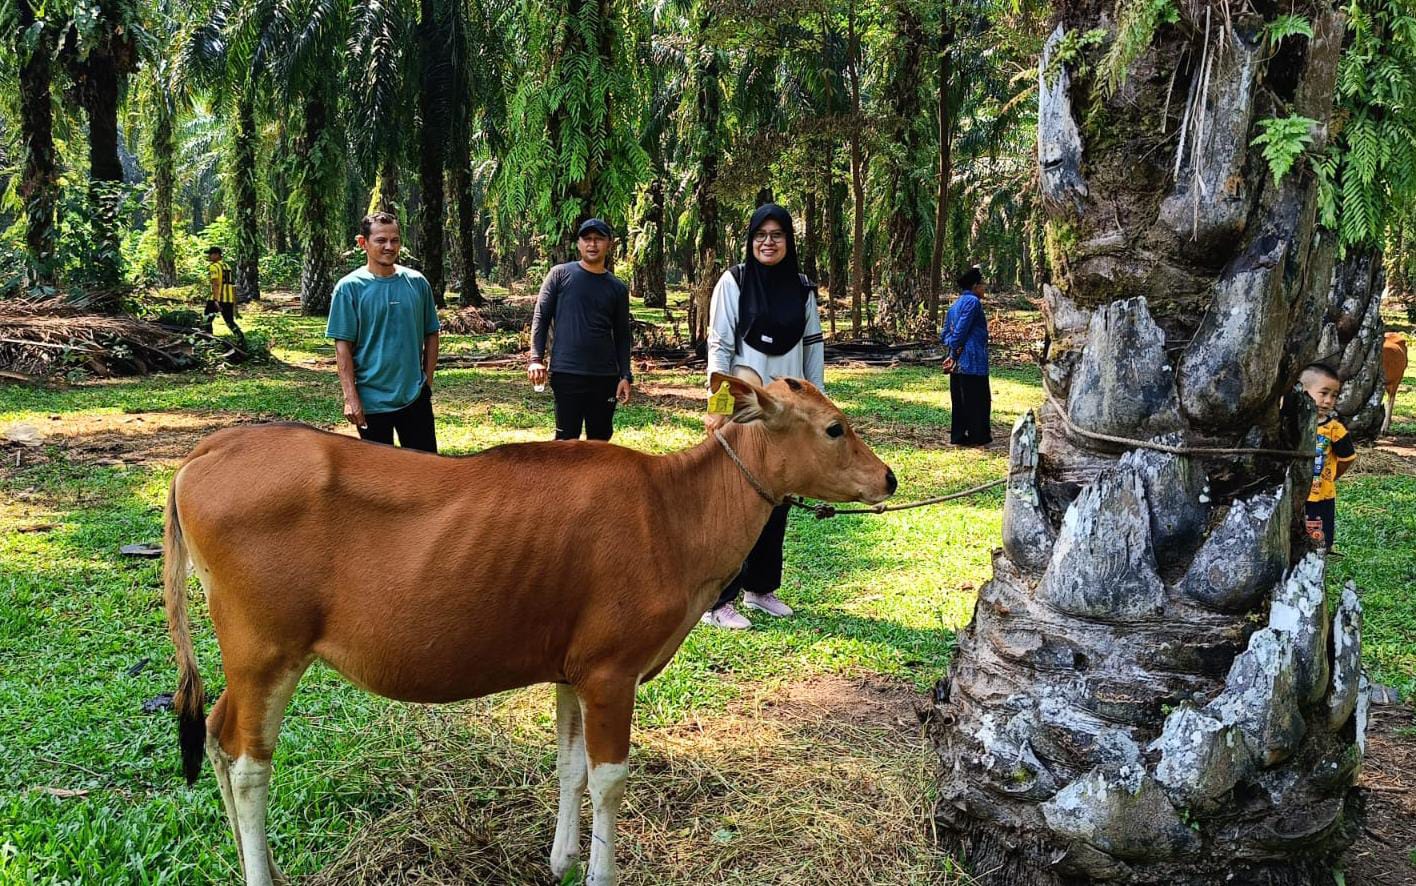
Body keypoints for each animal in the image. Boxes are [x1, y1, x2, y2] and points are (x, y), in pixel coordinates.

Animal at [165, 373, 894, 883]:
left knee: (216, 733)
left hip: (248, 659)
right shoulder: (612, 673)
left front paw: (563, 859)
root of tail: (211, 448)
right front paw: (600, 872)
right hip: (266, 650)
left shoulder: (574, 670)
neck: (673, 510)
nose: (888, 477)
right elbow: (609, 778)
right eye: (834, 428)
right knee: (248, 761)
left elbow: (570, 767)